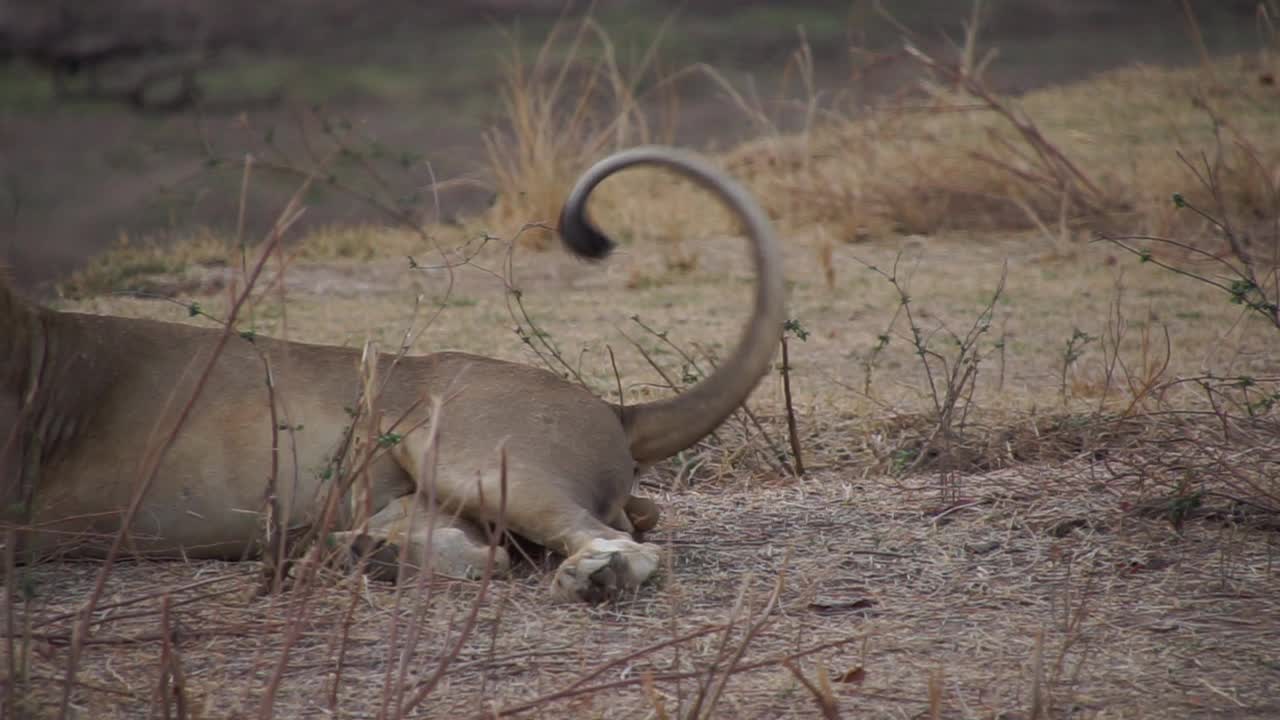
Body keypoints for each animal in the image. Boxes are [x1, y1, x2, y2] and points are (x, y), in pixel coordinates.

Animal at [0, 146, 783, 599]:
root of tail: (613, 407)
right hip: (413, 493)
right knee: (480, 553)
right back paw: (348, 558)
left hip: (468, 454)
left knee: (619, 543)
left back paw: (592, 578)